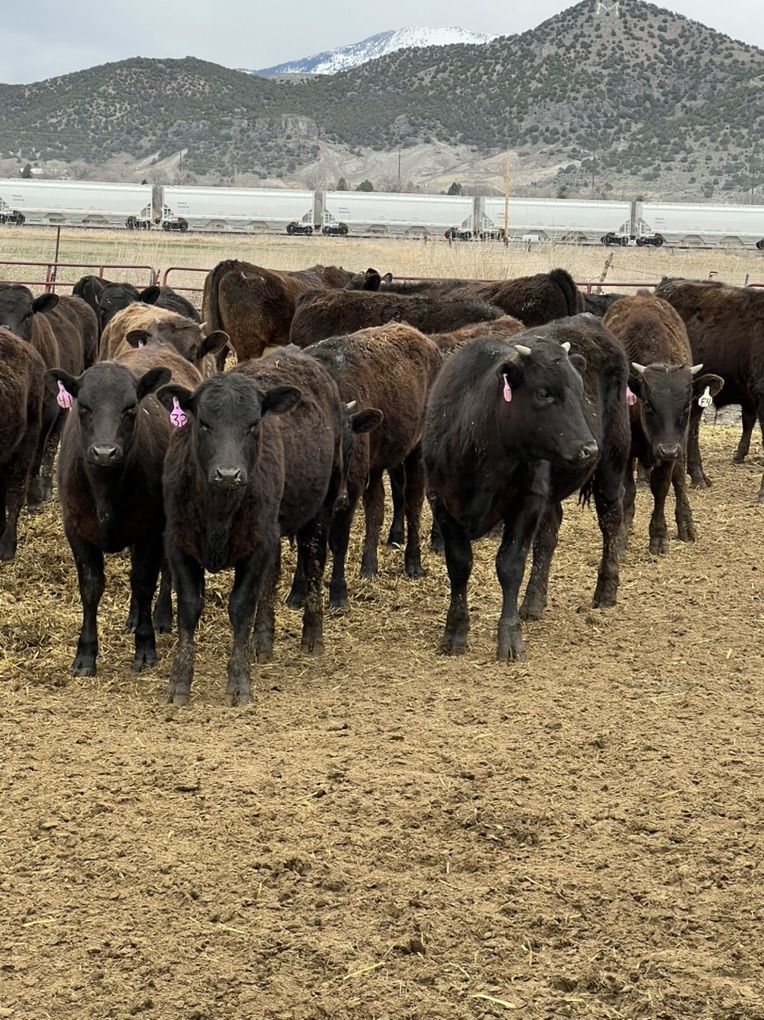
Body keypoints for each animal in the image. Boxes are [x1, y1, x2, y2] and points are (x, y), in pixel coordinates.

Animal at [46, 346, 201, 676]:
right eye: (84, 406)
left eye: (131, 408)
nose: (104, 452)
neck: (106, 489)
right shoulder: (76, 528)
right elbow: (91, 587)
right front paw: (85, 654)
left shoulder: (151, 529)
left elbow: (143, 582)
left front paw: (145, 645)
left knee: (164, 570)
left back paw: (162, 617)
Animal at [156, 348, 348, 706]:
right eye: (203, 423)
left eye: (253, 424)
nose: (229, 474)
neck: (218, 510)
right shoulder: (178, 543)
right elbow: (189, 607)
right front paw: (179, 682)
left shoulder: (256, 545)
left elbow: (241, 606)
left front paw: (239, 681)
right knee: (272, 577)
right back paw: (263, 640)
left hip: (322, 507)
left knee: (314, 564)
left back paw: (312, 635)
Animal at [423, 314, 629, 662]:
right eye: (544, 393)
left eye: (579, 391)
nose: (588, 448)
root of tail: (589, 320)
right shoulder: (441, 501)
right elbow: (459, 565)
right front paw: (455, 632)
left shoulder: (526, 500)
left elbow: (510, 565)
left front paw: (509, 637)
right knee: (549, 534)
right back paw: (534, 601)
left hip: (612, 462)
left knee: (611, 520)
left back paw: (606, 588)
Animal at [603, 295, 724, 553]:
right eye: (648, 404)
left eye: (686, 406)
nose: (668, 450)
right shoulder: (626, 450)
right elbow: (627, 492)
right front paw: (621, 536)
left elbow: (662, 487)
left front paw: (659, 535)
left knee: (679, 480)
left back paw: (686, 523)